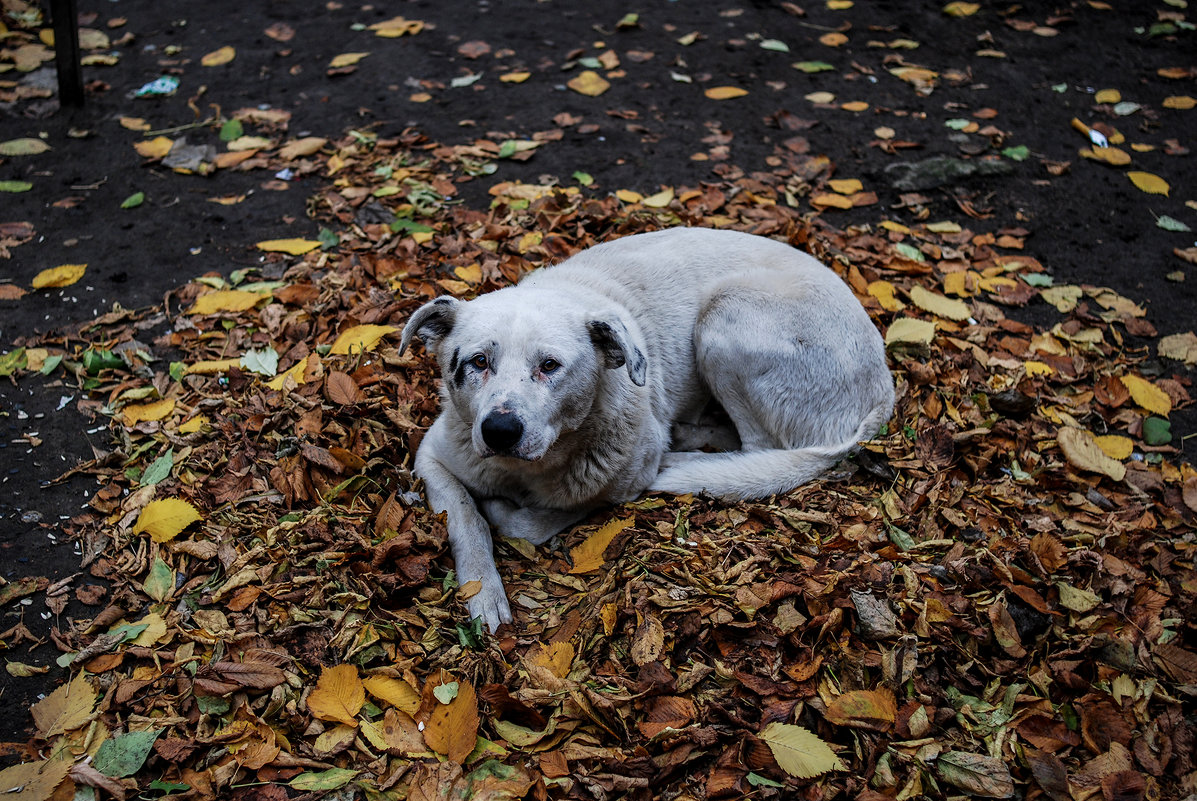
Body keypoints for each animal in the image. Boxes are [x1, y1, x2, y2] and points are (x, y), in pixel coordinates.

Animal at [397, 226, 895, 632]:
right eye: (479, 362)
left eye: (550, 365)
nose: (500, 430)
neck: (530, 468)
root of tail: (881, 392)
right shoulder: (433, 456)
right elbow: (463, 515)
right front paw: (482, 592)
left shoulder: (620, 484)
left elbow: (535, 518)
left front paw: (505, 515)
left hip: (726, 314)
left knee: (758, 445)